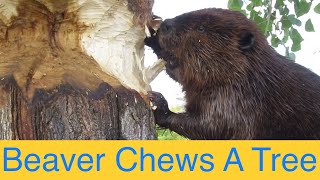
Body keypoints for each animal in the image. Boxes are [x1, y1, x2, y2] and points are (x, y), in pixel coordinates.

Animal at [146, 7, 320, 140]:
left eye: (201, 28)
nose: (166, 24)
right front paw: (152, 34)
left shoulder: (239, 101)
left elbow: (212, 126)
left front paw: (157, 103)